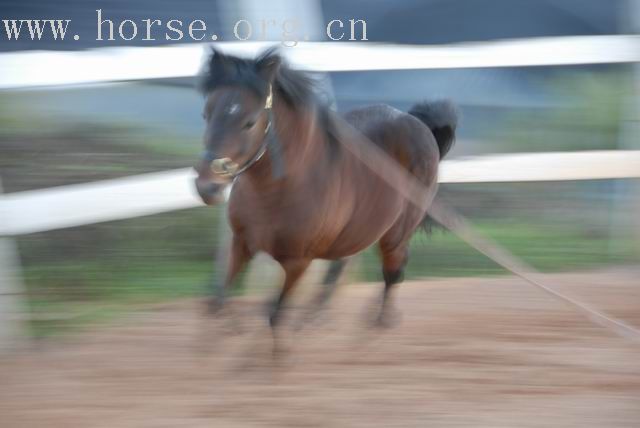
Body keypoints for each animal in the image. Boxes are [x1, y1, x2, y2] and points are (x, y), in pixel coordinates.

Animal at [192, 48, 458, 332]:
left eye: (249, 122)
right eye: (206, 114)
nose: (207, 186)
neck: (275, 192)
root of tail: (421, 125)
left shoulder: (297, 262)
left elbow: (275, 317)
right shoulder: (242, 244)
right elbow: (217, 302)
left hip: (396, 232)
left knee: (393, 272)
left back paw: (376, 322)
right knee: (345, 267)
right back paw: (316, 316)